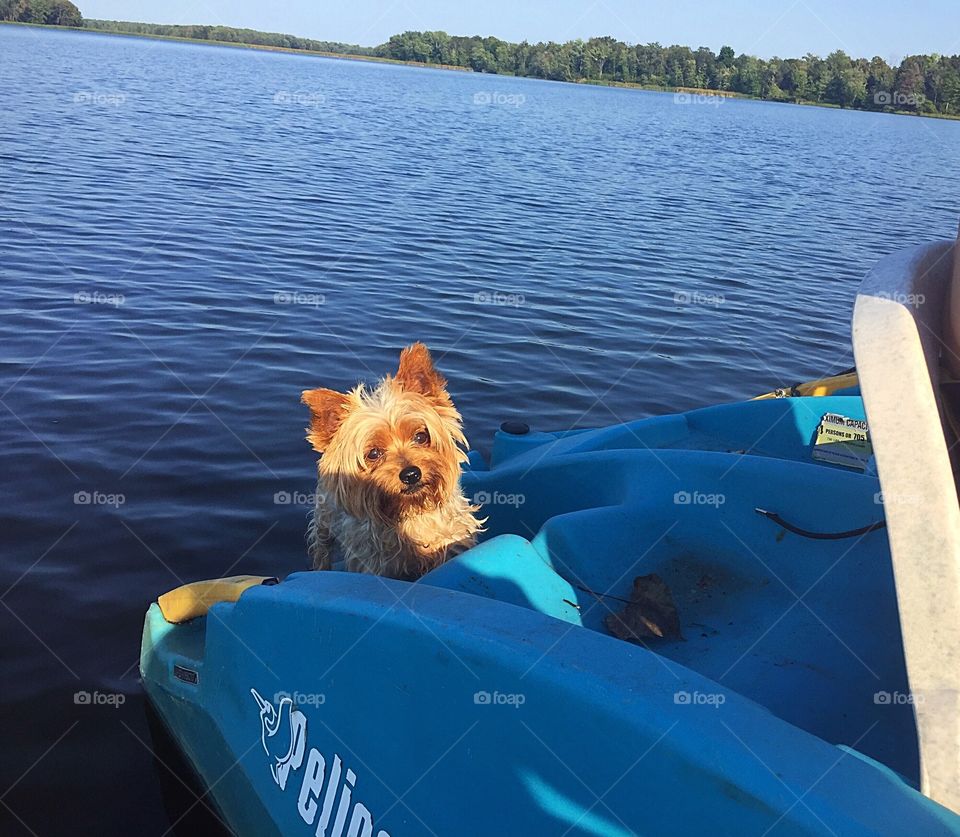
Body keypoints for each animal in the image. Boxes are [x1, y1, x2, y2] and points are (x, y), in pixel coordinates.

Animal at [302, 342, 484, 580]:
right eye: (373, 453)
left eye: (421, 436)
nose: (411, 474)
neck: (412, 511)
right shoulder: (376, 563)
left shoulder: (453, 540)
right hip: (324, 515)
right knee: (321, 546)